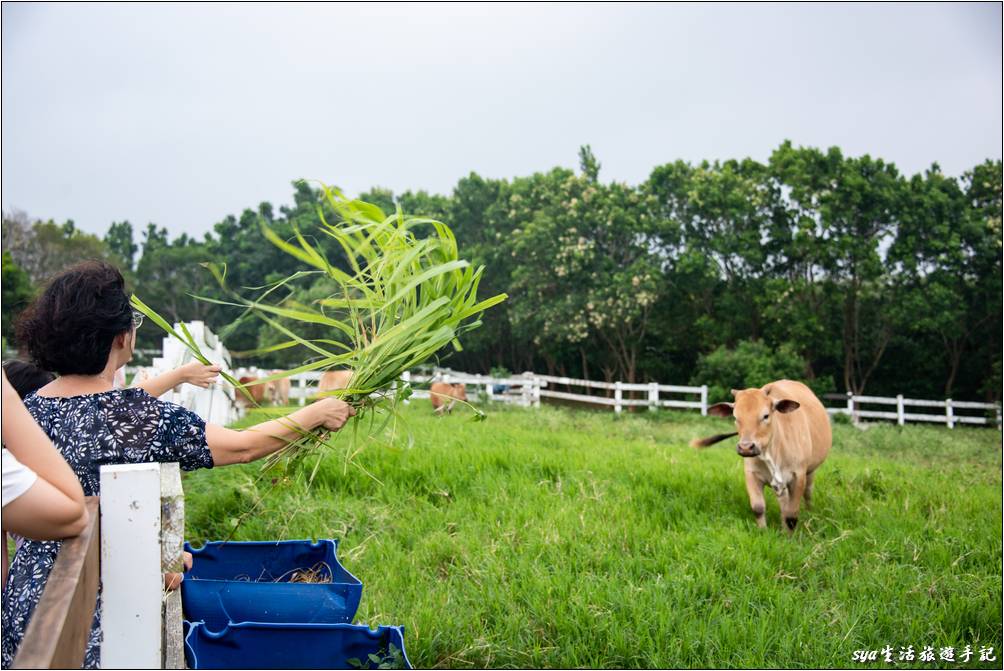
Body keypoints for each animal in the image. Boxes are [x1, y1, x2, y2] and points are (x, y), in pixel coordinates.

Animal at [690, 379, 831, 530]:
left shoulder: (798, 476)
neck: (772, 452)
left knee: (808, 493)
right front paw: (763, 531)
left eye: (765, 416)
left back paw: (809, 512)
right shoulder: (751, 474)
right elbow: (758, 508)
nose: (745, 447)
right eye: (735, 417)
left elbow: (791, 516)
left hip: (810, 471)